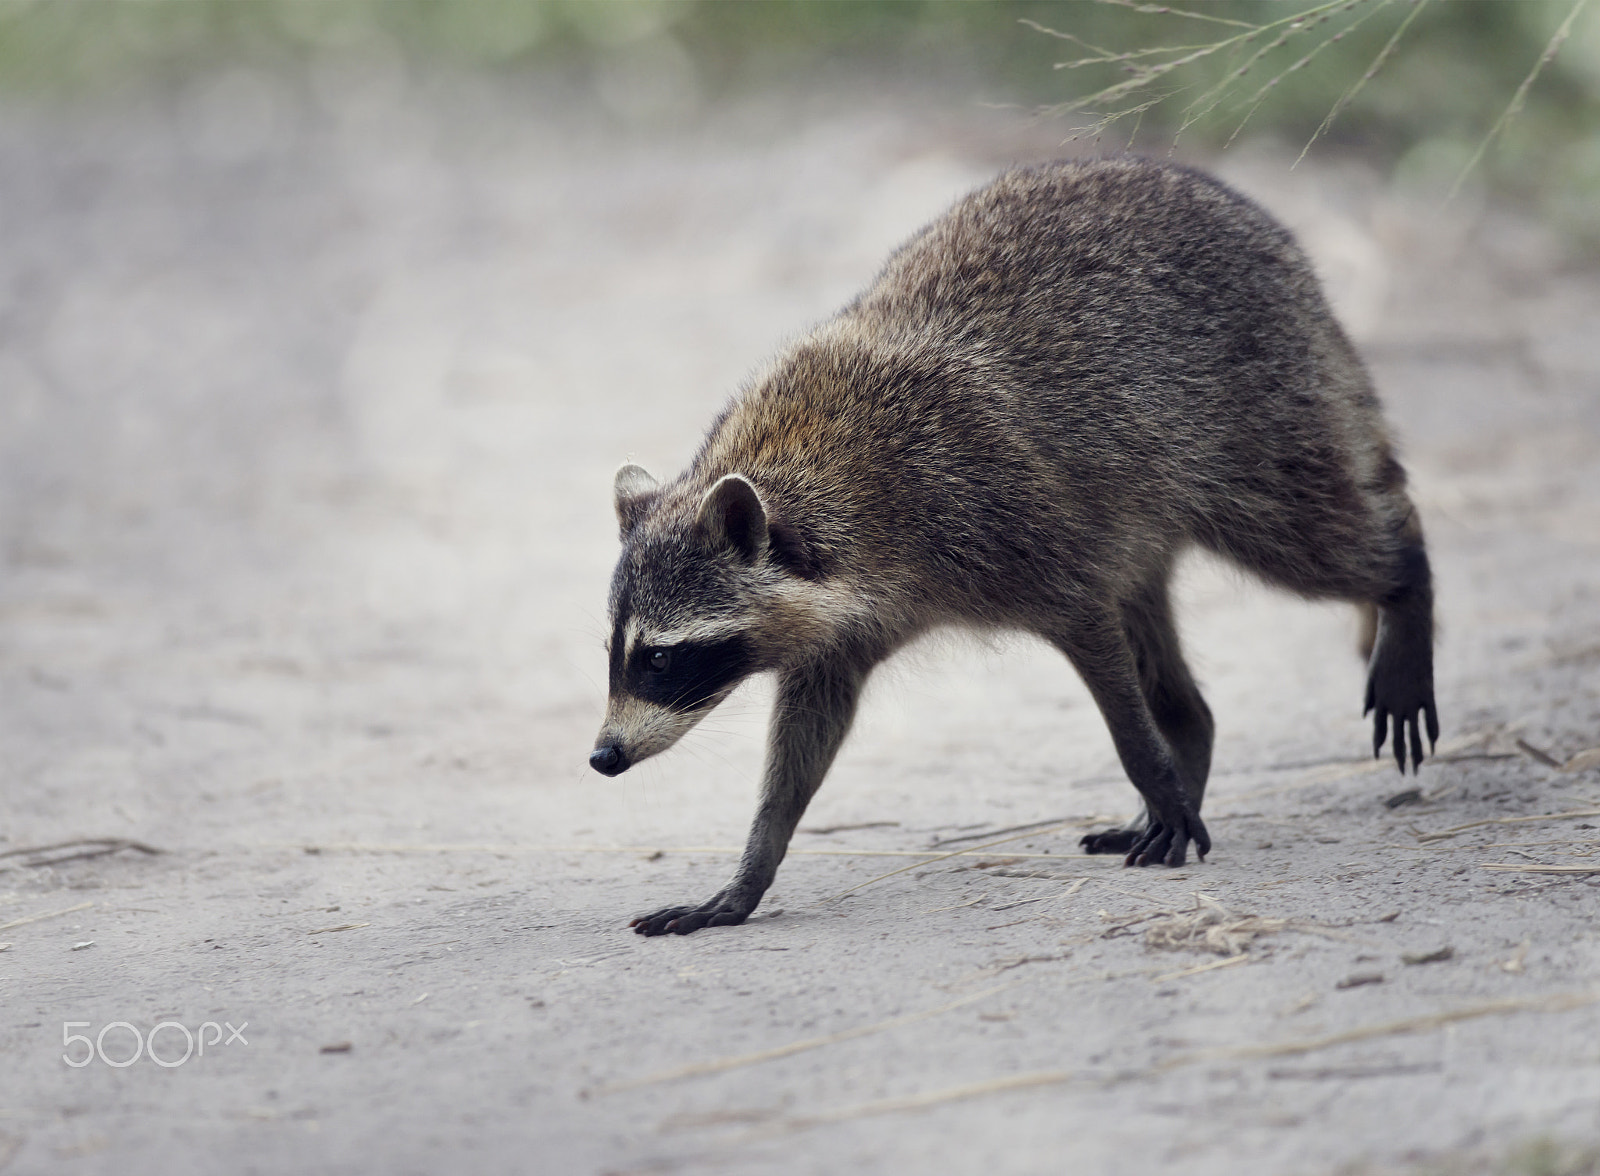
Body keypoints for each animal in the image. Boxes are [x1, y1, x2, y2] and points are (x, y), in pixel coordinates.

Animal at [588, 156, 1440, 940]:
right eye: (614, 655)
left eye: (660, 658)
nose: (603, 758)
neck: (806, 480)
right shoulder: (840, 628)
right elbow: (805, 738)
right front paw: (751, 868)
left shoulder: (998, 516)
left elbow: (1091, 631)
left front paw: (1152, 769)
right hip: (1139, 508)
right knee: (1160, 636)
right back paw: (1189, 731)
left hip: (1252, 415)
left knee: (1309, 534)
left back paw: (1404, 582)